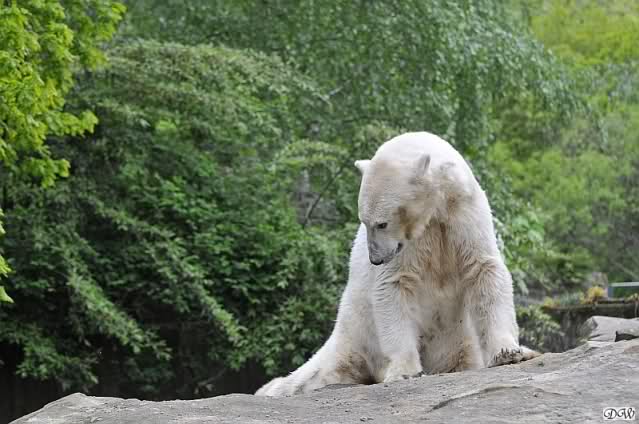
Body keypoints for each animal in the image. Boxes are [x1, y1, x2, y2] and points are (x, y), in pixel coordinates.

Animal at [255, 131, 538, 396]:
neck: (436, 210)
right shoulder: (408, 244)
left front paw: (509, 352)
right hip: (359, 328)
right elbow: (393, 286)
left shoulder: (463, 212)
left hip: (457, 339)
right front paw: (404, 371)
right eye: (364, 221)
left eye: (382, 223)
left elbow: (483, 269)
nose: (376, 259)